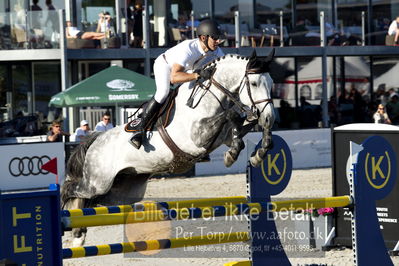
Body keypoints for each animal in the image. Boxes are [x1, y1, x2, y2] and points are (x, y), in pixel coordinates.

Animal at [62, 49, 276, 245]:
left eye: (272, 84)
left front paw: (258, 152)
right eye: (254, 83)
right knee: (73, 191)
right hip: (97, 182)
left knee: (92, 201)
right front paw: (233, 155)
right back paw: (72, 227)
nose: (269, 116)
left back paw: (79, 232)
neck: (208, 98)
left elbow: (241, 127)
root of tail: (96, 140)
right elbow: (232, 115)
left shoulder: (223, 137)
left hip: (122, 192)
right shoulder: (196, 138)